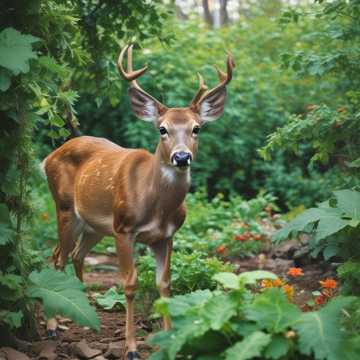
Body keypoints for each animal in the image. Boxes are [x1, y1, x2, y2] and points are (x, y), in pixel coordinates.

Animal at [41, 44, 233, 358]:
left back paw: (83, 311)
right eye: (162, 129)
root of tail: (49, 156)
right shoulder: (124, 229)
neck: (157, 207)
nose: (182, 157)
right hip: (65, 209)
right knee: (57, 256)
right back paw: (53, 326)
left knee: (76, 255)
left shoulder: (165, 236)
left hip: (94, 226)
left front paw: (170, 340)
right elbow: (130, 284)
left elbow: (164, 284)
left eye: (197, 128)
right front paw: (130, 348)